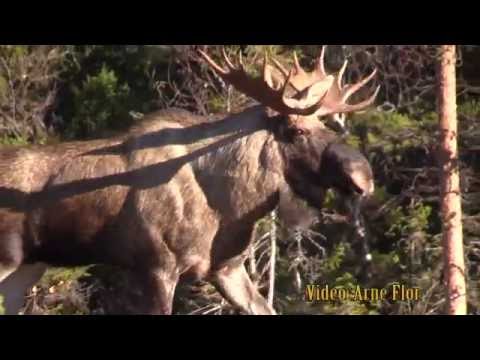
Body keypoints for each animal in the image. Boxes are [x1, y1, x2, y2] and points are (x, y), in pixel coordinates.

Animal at [0, 46, 378, 314]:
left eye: (326, 125)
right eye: (297, 131)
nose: (363, 175)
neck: (231, 206)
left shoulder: (227, 268)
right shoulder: (157, 268)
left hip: (27, 269)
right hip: (7, 261)